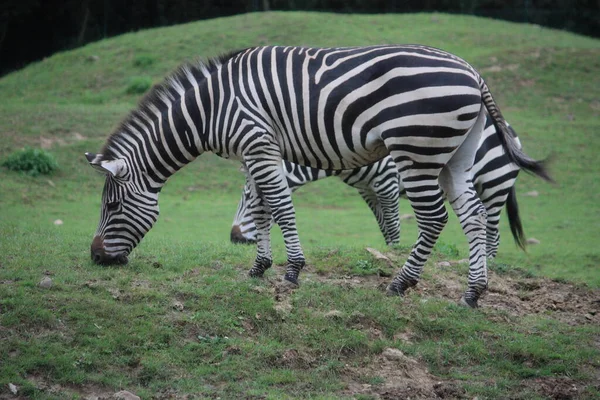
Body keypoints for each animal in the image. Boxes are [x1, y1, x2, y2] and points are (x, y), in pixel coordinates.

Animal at [231, 156, 404, 244]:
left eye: (249, 197)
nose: (234, 238)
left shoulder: (387, 183)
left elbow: (393, 228)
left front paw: (394, 253)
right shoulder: (366, 190)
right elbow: (384, 228)